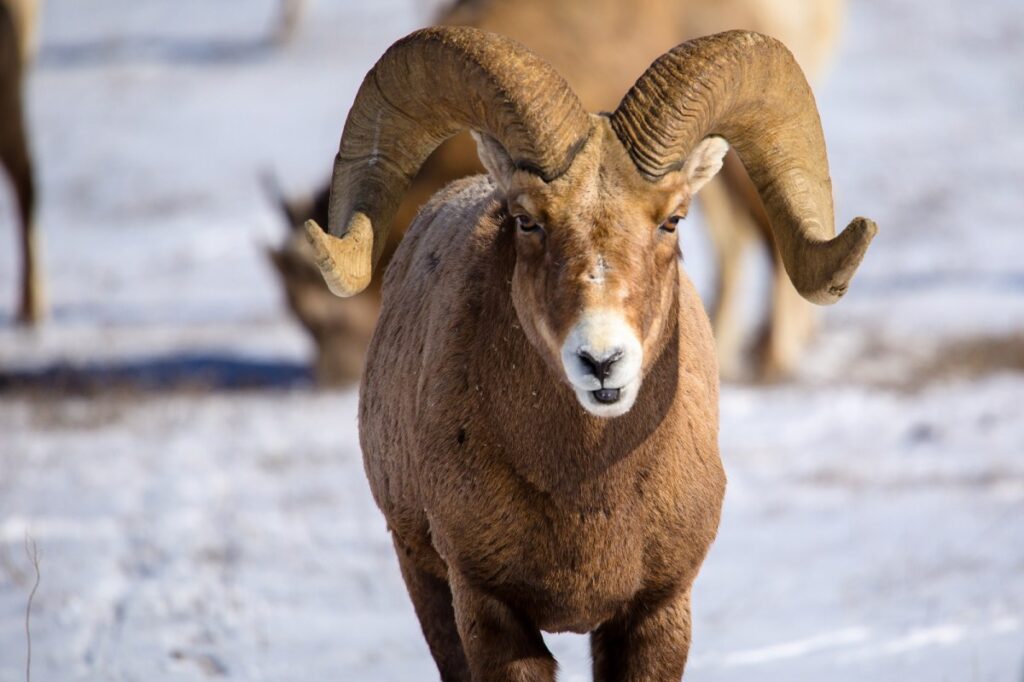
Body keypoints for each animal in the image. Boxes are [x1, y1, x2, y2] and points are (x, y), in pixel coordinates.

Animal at [307, 25, 876, 675]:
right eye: (527, 221)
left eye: (673, 220)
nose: (602, 361)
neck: (588, 492)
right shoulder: (488, 611)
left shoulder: (657, 611)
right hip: (423, 580)